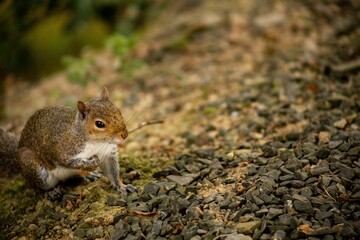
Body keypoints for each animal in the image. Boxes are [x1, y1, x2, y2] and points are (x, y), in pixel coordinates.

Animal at [0, 87, 135, 194]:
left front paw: (121, 186)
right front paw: (90, 163)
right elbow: (66, 161)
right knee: (38, 188)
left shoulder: (107, 154)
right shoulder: (61, 149)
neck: (96, 142)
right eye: (99, 124)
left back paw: (89, 174)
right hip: (31, 164)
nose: (124, 135)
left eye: (118, 111)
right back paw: (51, 192)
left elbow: (112, 172)